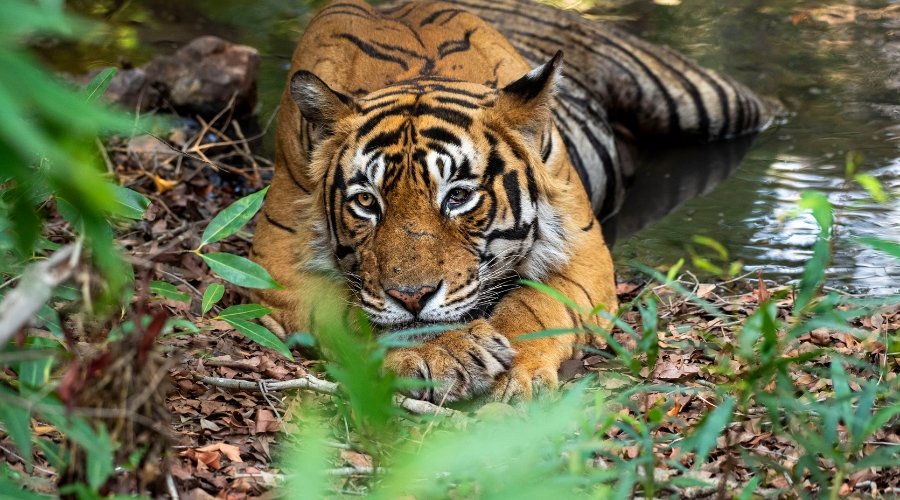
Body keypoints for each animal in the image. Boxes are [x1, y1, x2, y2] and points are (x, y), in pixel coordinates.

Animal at [249, 0, 771, 403]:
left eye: (458, 196)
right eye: (366, 202)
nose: (412, 297)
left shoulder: (585, 255)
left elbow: (536, 304)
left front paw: (517, 368)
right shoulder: (277, 267)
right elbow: (355, 307)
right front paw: (440, 350)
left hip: (702, 99)